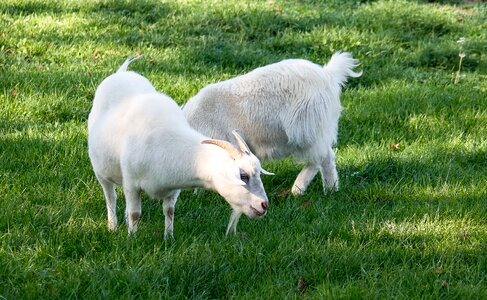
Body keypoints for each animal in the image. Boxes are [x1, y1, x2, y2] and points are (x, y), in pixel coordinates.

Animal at [87, 56, 270, 238]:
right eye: (243, 175)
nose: (264, 205)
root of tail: (122, 72)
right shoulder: (132, 183)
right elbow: (135, 213)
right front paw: (132, 238)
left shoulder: (173, 189)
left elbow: (169, 211)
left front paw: (169, 238)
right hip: (101, 172)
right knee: (110, 197)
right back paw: (112, 225)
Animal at [183, 51, 362, 197]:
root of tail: (327, 74)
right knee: (324, 157)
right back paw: (329, 189)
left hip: (306, 128)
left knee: (321, 156)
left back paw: (301, 188)